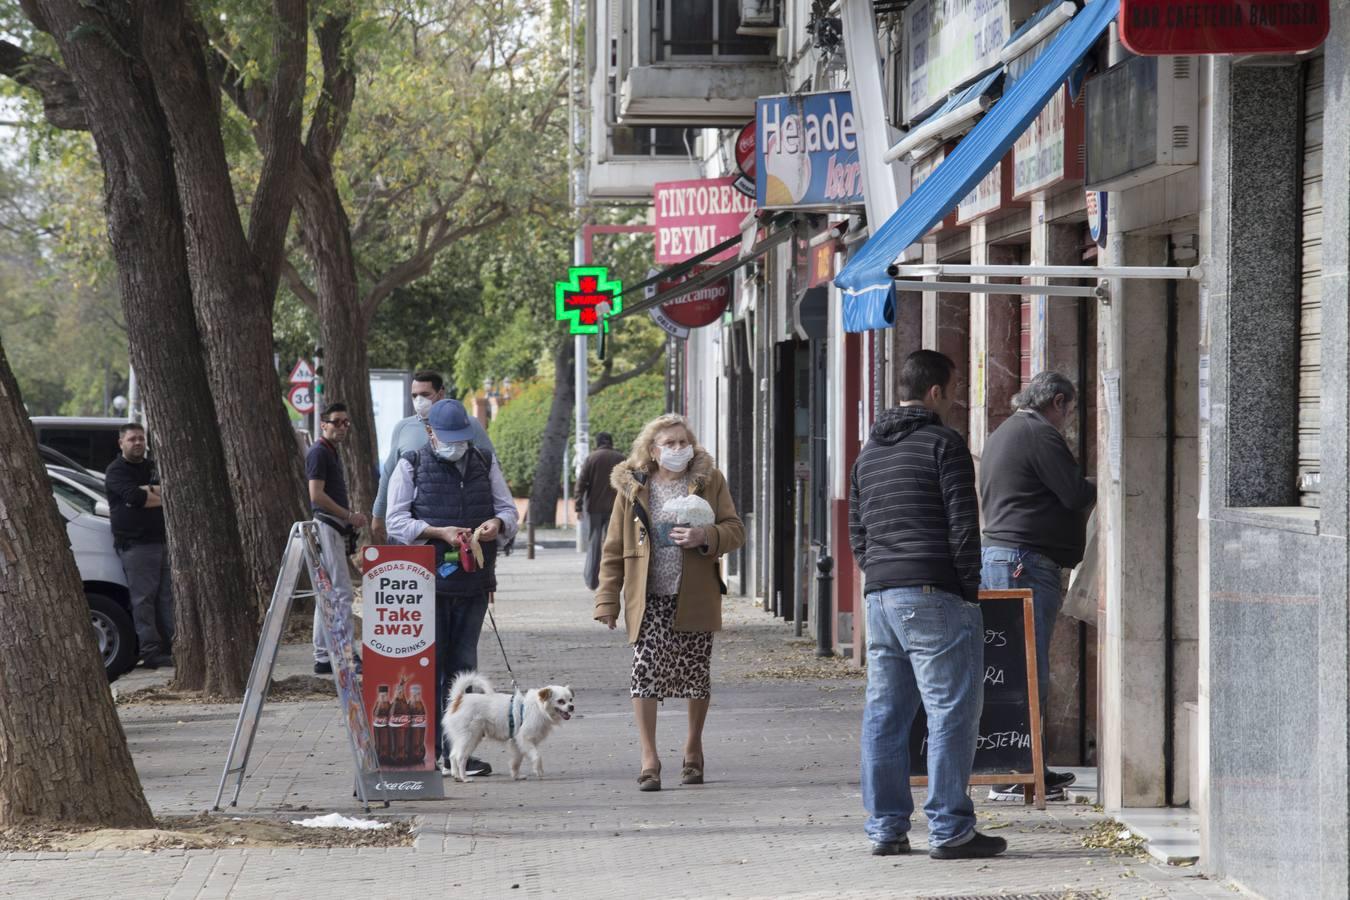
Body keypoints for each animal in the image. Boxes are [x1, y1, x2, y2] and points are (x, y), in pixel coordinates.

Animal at [440, 671, 572, 782]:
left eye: (570, 699)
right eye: (561, 701)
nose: (572, 707)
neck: (538, 707)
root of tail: (459, 699)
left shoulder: (517, 742)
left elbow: (517, 760)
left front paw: (516, 775)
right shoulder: (524, 738)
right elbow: (537, 756)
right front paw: (539, 771)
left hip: (465, 738)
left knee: (452, 755)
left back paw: (456, 776)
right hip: (470, 738)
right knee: (460, 758)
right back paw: (465, 778)